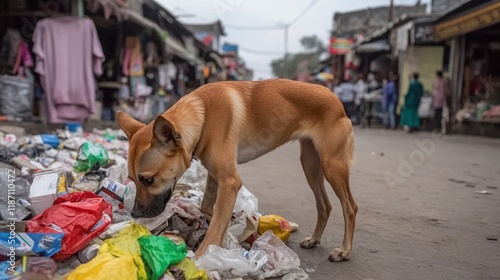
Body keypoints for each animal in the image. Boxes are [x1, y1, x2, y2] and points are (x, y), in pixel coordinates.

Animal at [116, 77, 360, 262]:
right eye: (132, 179)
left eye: (148, 180)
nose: (134, 214)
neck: (202, 116)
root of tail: (336, 100)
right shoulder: (217, 176)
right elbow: (208, 207)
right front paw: (229, 225)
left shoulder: (230, 182)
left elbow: (214, 227)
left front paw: (203, 256)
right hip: (310, 165)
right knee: (325, 205)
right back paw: (314, 239)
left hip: (332, 166)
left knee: (350, 207)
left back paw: (345, 250)